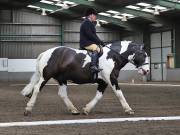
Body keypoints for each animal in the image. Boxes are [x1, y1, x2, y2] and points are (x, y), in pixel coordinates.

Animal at [21, 40, 149, 116]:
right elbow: (119, 94)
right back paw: (28, 109)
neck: (112, 56)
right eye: (143, 55)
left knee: (62, 94)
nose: (147, 71)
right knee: (37, 89)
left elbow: (98, 96)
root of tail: (46, 52)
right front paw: (129, 109)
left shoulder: (103, 82)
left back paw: (74, 110)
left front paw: (87, 109)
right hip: (46, 76)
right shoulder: (111, 78)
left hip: (62, 79)